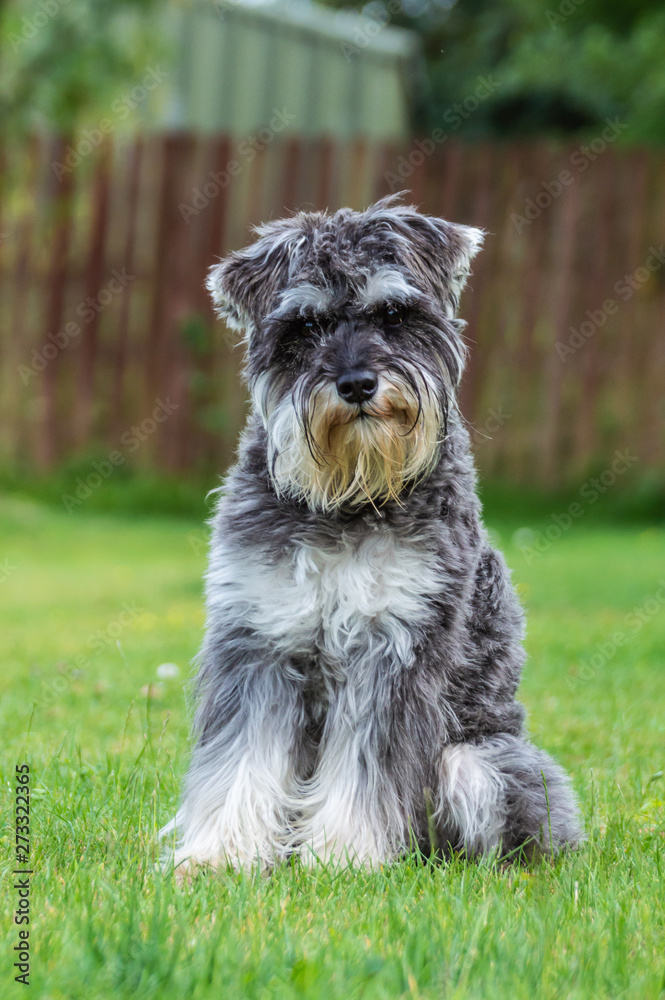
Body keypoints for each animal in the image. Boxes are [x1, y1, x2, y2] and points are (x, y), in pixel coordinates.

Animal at [161, 197, 580, 876]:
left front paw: (340, 858)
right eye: (304, 327)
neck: (350, 500)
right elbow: (240, 760)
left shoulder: (395, 649)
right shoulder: (259, 640)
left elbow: (366, 768)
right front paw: (218, 855)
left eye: (393, 314)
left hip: (481, 764)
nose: (357, 383)